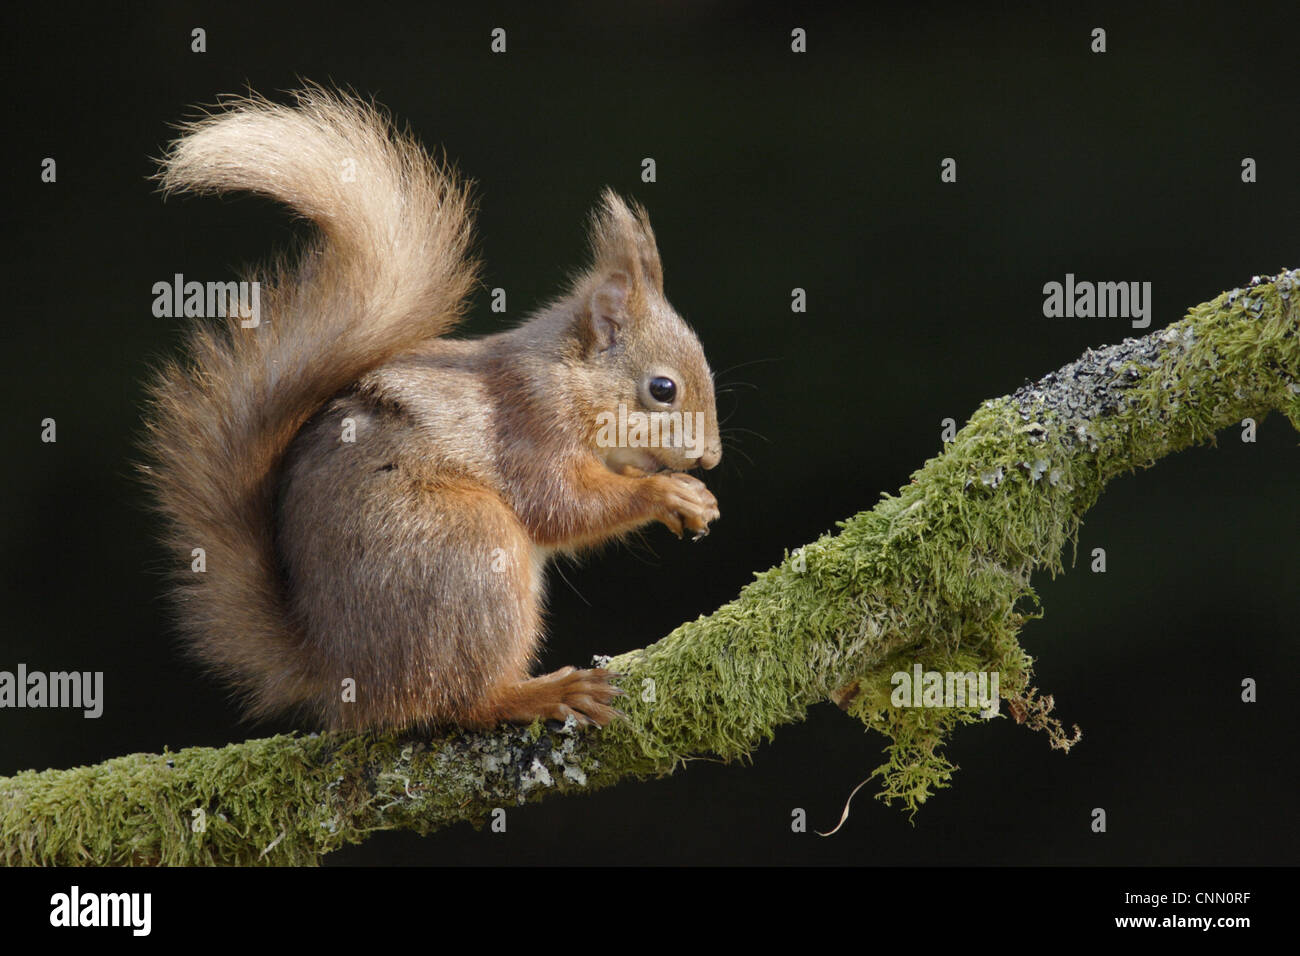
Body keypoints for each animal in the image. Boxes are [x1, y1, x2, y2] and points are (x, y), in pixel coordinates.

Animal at [140, 86, 722, 733]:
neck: (567, 378)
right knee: (462, 699)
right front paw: (668, 493)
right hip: (467, 550)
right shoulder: (529, 422)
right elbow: (561, 505)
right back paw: (541, 693)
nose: (711, 457)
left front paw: (696, 500)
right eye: (663, 389)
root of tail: (344, 674)